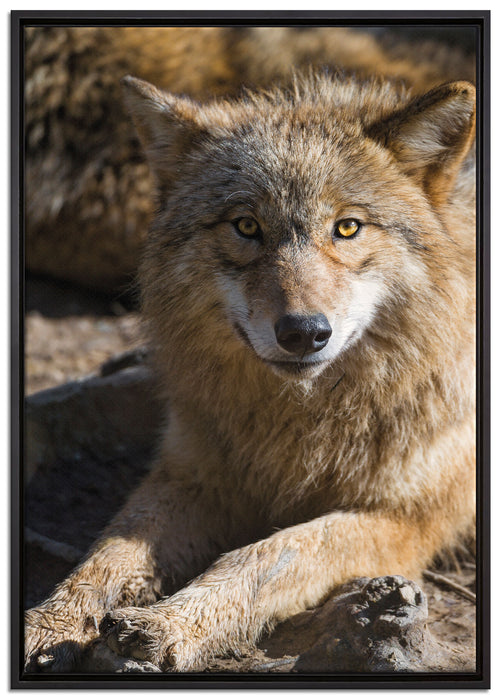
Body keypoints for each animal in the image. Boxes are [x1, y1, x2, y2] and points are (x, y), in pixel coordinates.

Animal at [24, 71, 476, 672]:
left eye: (347, 228)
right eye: (246, 226)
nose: (304, 332)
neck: (300, 424)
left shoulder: (403, 520)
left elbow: (267, 554)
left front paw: (169, 623)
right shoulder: (194, 471)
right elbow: (107, 553)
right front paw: (51, 622)